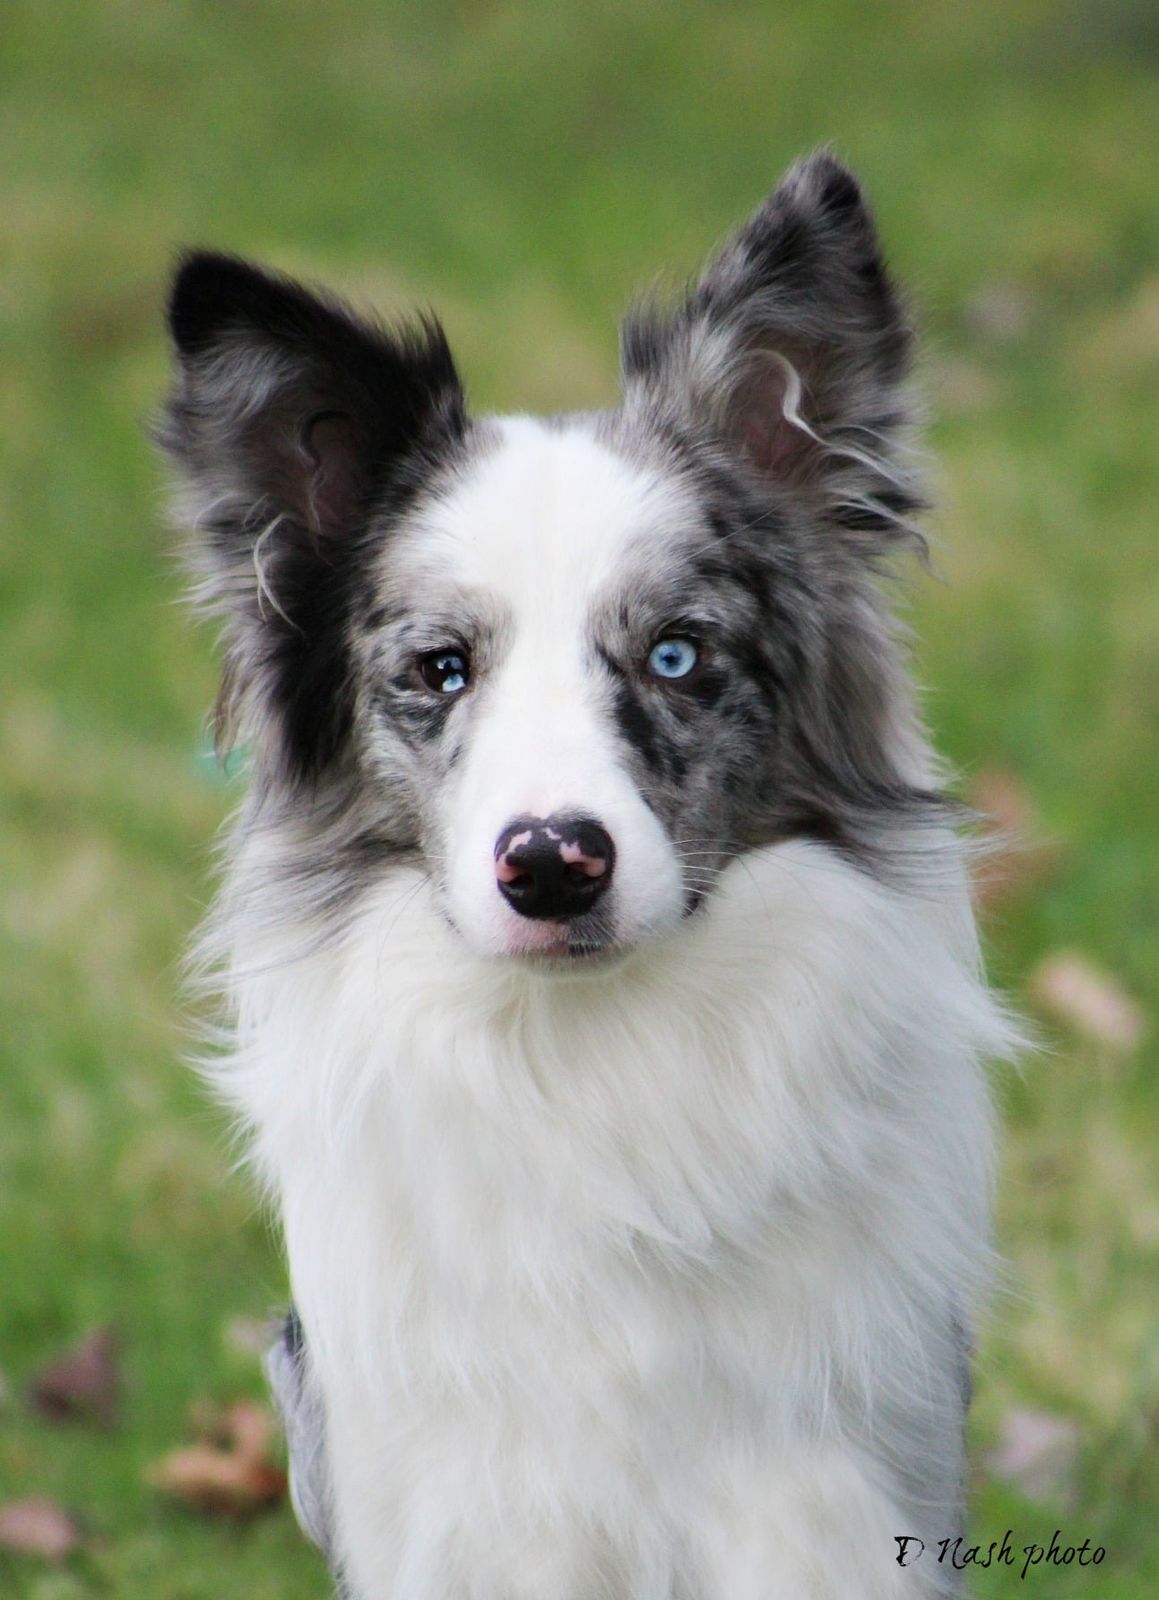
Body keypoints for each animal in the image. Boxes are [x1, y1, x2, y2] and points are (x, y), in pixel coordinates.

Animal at [158, 152, 1011, 1600]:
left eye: (674, 655)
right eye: (441, 669)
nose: (551, 865)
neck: (594, 1066)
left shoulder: (825, 1491)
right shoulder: (472, 1514)